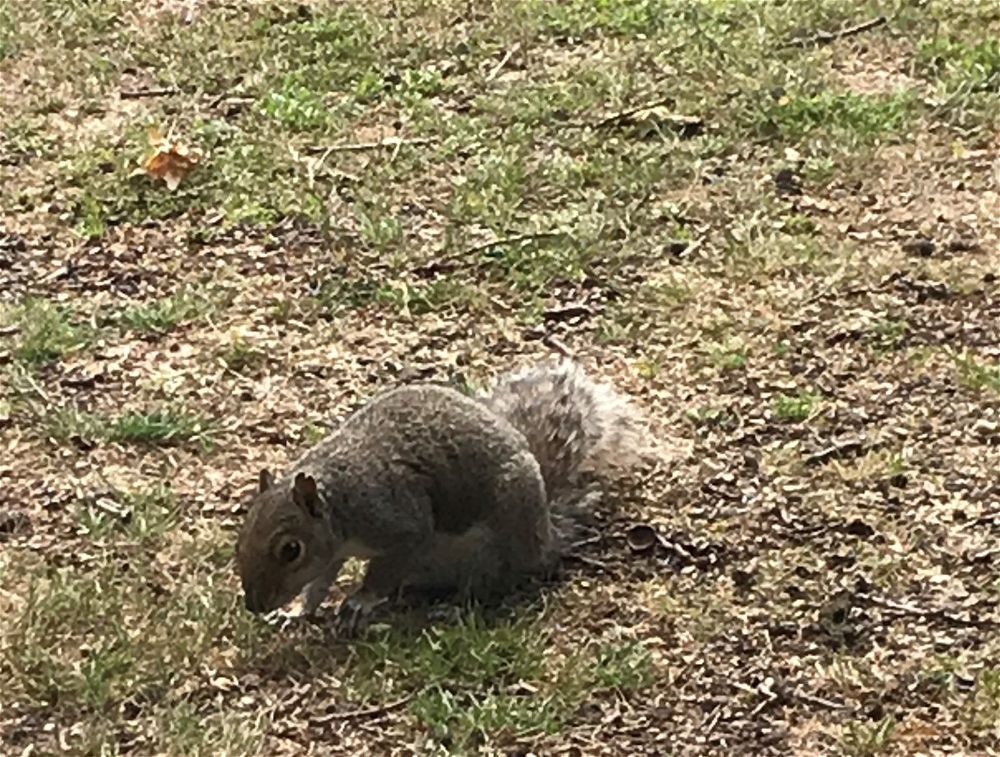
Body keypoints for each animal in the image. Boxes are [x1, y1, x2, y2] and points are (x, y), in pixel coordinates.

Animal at [235, 358, 653, 634]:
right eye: (240, 540)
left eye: (291, 550)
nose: (254, 606)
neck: (340, 499)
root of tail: (546, 534)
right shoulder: (333, 552)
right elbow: (318, 583)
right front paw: (295, 611)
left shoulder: (398, 519)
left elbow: (384, 567)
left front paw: (361, 600)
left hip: (495, 542)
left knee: (488, 585)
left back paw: (453, 609)